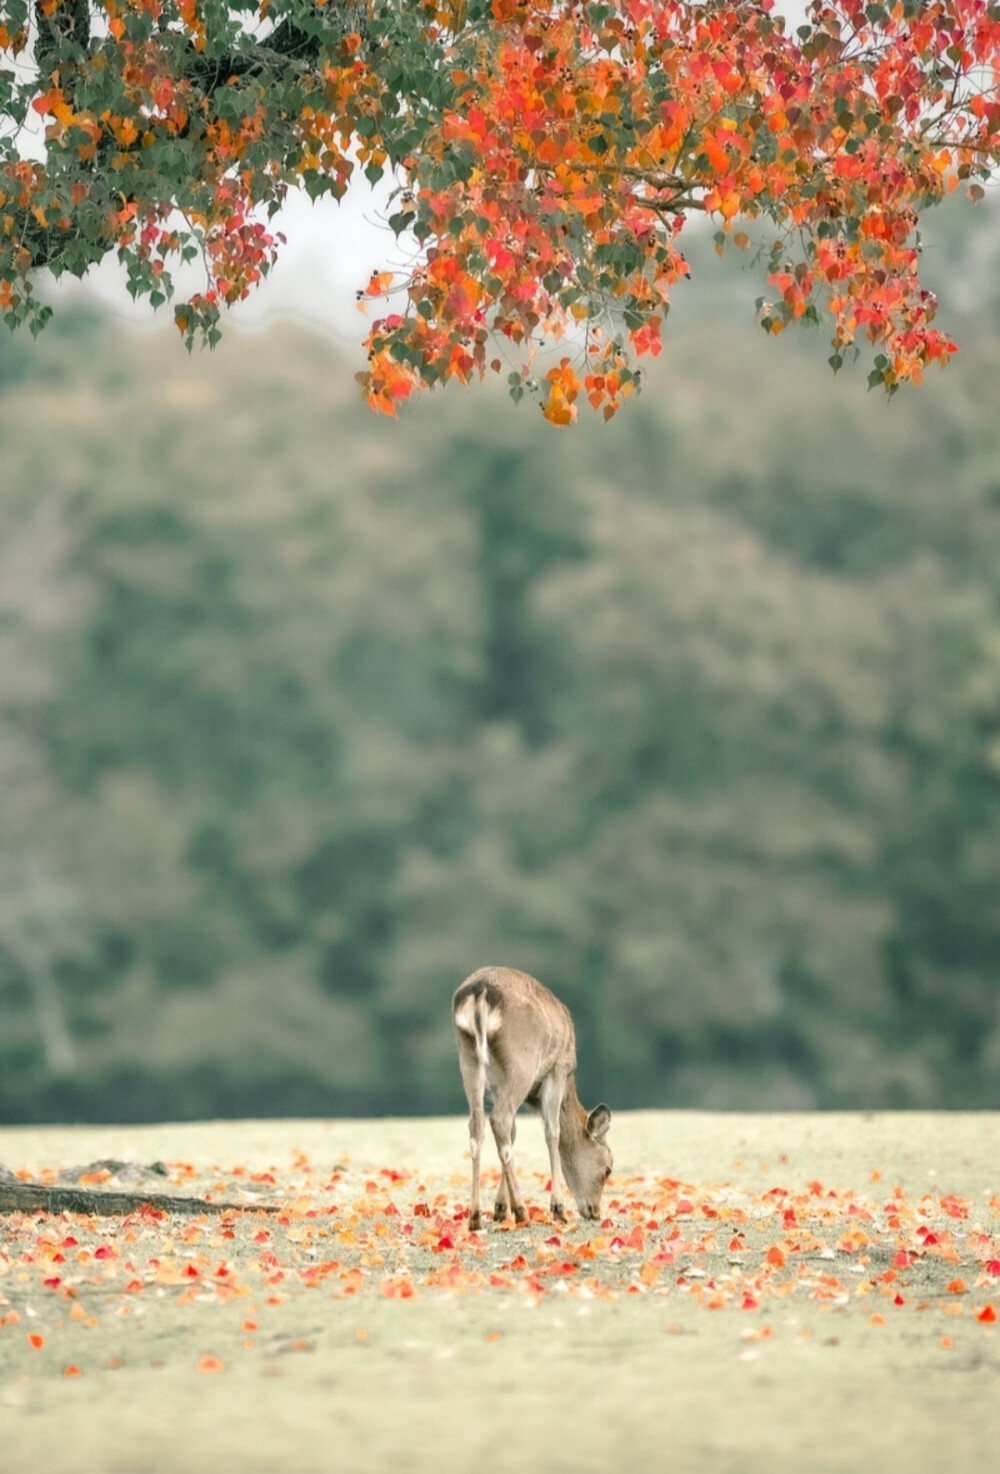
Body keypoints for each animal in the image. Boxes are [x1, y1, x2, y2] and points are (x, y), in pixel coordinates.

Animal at [451, 966, 610, 1232]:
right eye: (608, 1169)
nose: (595, 1212)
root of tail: (480, 993)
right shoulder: (557, 1069)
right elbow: (552, 1131)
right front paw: (558, 1209)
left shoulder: (497, 1082)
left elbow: (514, 1133)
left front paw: (499, 1209)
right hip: (522, 1059)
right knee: (500, 1119)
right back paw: (522, 1211)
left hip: (468, 1056)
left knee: (478, 1125)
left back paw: (475, 1216)